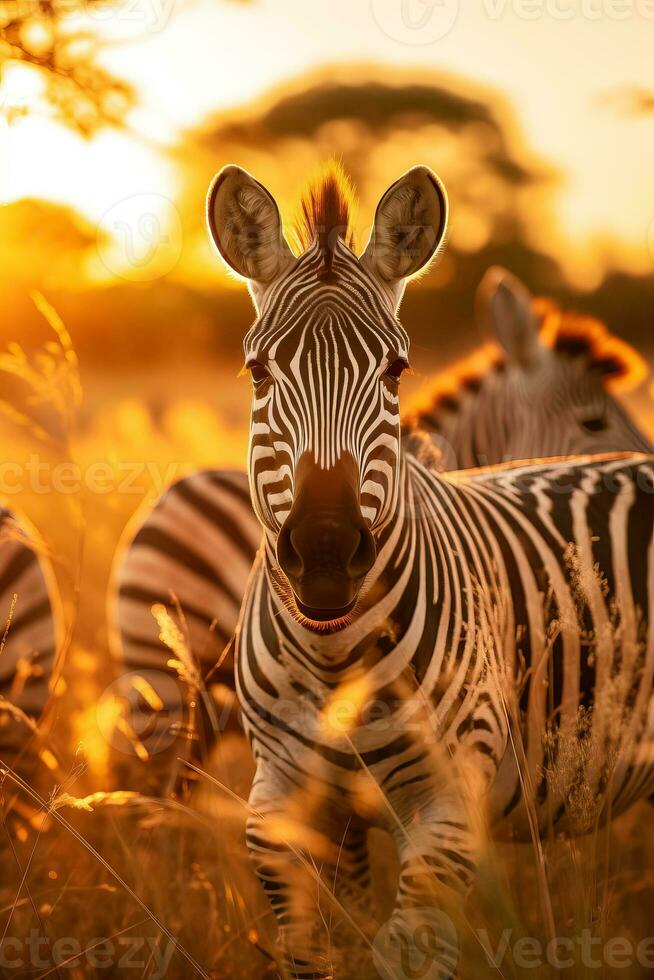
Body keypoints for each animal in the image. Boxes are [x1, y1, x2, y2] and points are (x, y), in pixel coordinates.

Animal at [208, 161, 654, 980]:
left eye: (395, 370)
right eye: (256, 372)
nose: (325, 554)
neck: (333, 659)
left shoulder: (449, 813)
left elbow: (406, 952)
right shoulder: (285, 810)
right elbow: (317, 949)